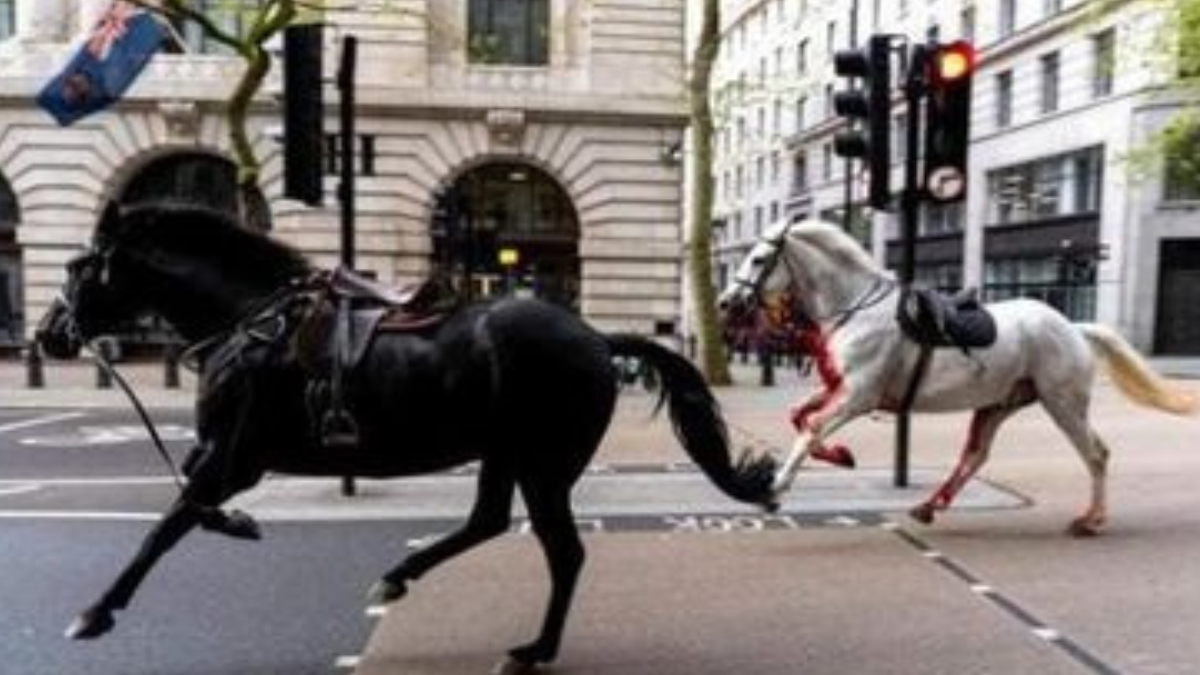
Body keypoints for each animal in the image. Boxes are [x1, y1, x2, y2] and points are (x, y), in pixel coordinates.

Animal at [37, 201, 772, 662]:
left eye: (78, 268)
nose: (48, 335)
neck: (249, 321)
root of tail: (596, 337)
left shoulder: (235, 455)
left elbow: (166, 526)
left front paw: (96, 611)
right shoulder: (221, 455)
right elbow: (190, 505)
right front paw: (238, 523)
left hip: (541, 463)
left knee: (563, 552)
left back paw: (534, 649)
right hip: (506, 454)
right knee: (487, 522)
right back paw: (400, 577)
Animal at [715, 218, 1195, 533]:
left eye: (759, 259)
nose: (724, 303)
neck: (857, 308)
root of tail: (1074, 327)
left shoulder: (859, 395)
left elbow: (810, 427)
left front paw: (775, 488)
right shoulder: (841, 388)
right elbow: (800, 416)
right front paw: (839, 455)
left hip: (1063, 404)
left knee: (1095, 454)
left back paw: (1091, 520)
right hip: (999, 404)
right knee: (975, 456)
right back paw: (929, 506)